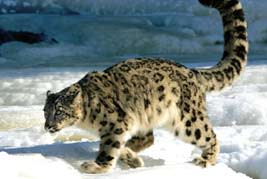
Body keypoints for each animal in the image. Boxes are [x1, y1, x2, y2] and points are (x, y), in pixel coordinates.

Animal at [43, 0, 248, 173]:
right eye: (45, 111)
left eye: (59, 111)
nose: (48, 126)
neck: (87, 120)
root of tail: (191, 71)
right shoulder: (123, 126)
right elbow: (117, 144)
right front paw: (130, 158)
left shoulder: (116, 124)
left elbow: (109, 148)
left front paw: (97, 167)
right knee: (148, 138)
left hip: (188, 121)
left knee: (209, 135)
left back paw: (205, 160)